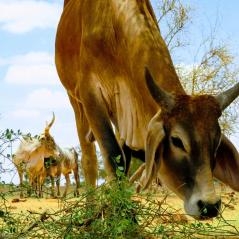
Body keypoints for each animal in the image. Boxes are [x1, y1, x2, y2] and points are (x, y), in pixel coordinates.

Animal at [54, 0, 239, 219]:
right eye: (177, 141)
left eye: (216, 142)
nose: (209, 206)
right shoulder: (89, 93)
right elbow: (113, 157)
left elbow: (123, 162)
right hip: (75, 101)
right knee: (88, 158)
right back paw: (91, 210)